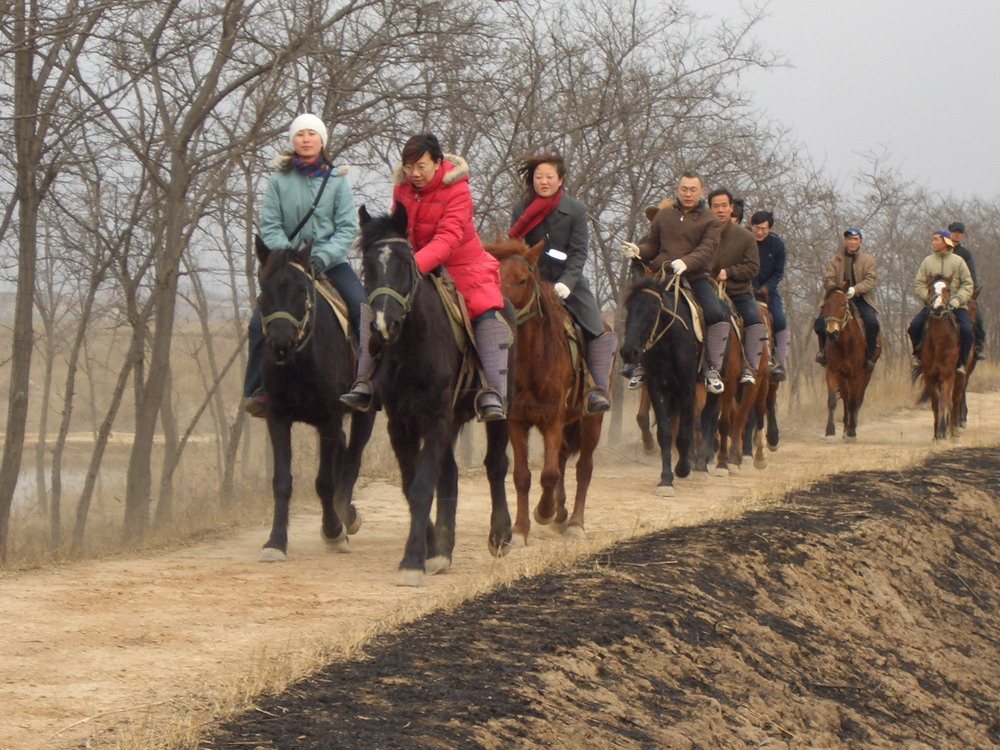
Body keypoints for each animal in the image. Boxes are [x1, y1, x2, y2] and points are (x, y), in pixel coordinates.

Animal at [254, 238, 376, 560]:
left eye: (301, 290)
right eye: (264, 289)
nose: (280, 343)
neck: (300, 359)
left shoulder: (329, 419)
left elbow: (324, 482)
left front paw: (333, 532)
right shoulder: (277, 418)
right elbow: (282, 482)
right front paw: (275, 542)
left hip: (365, 412)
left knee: (352, 457)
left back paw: (347, 516)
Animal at [358, 206, 512, 588]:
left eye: (405, 263)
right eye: (368, 264)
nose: (382, 326)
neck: (412, 349)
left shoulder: (436, 420)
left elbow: (422, 486)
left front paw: (412, 561)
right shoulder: (400, 426)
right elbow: (412, 484)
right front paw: (432, 549)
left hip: (501, 410)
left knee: (496, 465)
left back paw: (501, 535)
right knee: (451, 473)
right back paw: (444, 545)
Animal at [482, 241, 600, 548]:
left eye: (523, 280)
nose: (502, 311)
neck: (532, 360)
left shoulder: (553, 420)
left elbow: (548, 474)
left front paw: (544, 512)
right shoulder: (517, 422)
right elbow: (523, 476)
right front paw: (521, 529)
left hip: (591, 422)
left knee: (583, 468)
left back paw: (575, 523)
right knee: (562, 458)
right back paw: (561, 513)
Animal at [620, 276, 700, 500]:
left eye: (654, 308)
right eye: (629, 307)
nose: (629, 351)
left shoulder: (688, 388)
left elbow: (685, 432)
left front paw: (683, 468)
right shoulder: (656, 388)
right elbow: (664, 432)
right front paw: (666, 479)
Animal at [820, 286, 884, 440]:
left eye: (843, 304)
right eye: (826, 305)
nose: (831, 332)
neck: (844, 343)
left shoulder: (856, 374)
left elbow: (854, 402)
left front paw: (851, 432)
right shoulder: (832, 371)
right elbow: (832, 401)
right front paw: (830, 431)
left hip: (866, 373)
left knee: (858, 399)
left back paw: (851, 427)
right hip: (843, 376)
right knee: (845, 397)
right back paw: (845, 426)